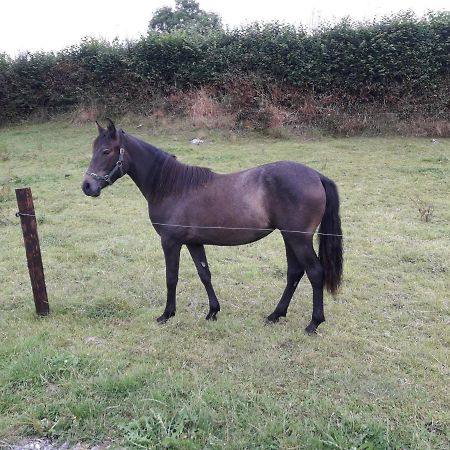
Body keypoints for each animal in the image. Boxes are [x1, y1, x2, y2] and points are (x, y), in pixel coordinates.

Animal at [82, 119, 342, 334]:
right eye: (94, 149)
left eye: (106, 151)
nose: (87, 186)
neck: (171, 188)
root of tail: (316, 176)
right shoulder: (194, 242)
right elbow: (204, 274)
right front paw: (213, 312)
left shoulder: (170, 242)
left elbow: (171, 277)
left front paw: (167, 314)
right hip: (290, 238)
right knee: (294, 273)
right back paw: (275, 315)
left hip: (298, 239)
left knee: (315, 273)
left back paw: (313, 323)